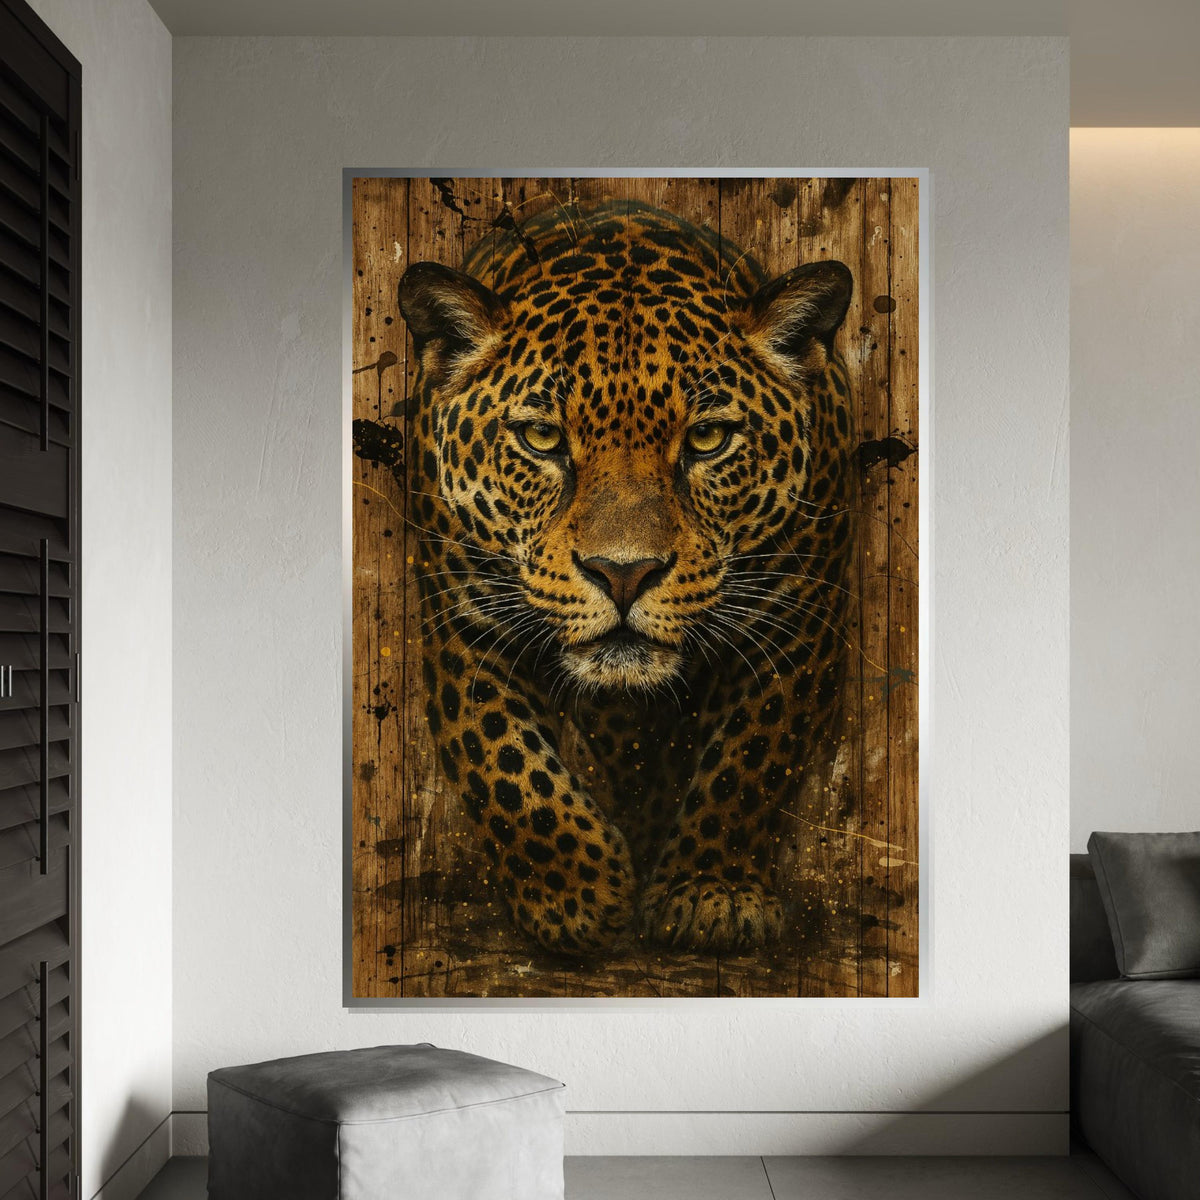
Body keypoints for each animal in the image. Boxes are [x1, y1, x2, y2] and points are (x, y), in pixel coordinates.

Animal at [395, 197, 856, 956]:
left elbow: (749, 761)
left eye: (707, 439)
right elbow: (502, 762)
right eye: (543, 438)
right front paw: (575, 896)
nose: (623, 573)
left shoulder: (796, 619)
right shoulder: (464, 616)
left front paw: (710, 892)